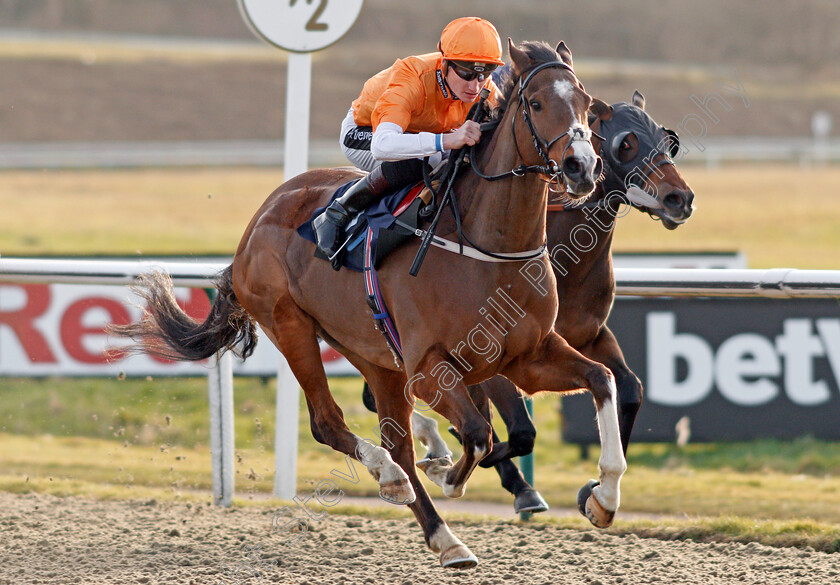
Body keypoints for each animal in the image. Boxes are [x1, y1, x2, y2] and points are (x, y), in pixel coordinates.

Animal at [111, 40, 628, 564]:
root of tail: (254, 226)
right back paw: (392, 477)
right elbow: (478, 435)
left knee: (394, 438)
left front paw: (601, 499)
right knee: (332, 425)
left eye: (587, 103)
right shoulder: (430, 369)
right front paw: (446, 472)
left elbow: (600, 380)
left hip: (373, 353)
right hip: (291, 325)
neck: (491, 246)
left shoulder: (528, 356)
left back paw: (444, 536)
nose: (582, 167)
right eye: (537, 104)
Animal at [394, 88, 696, 512]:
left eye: (667, 141)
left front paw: (597, 489)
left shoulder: (588, 336)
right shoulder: (492, 355)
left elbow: (630, 389)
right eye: (626, 143)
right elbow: (520, 432)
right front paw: (509, 478)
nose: (678, 198)